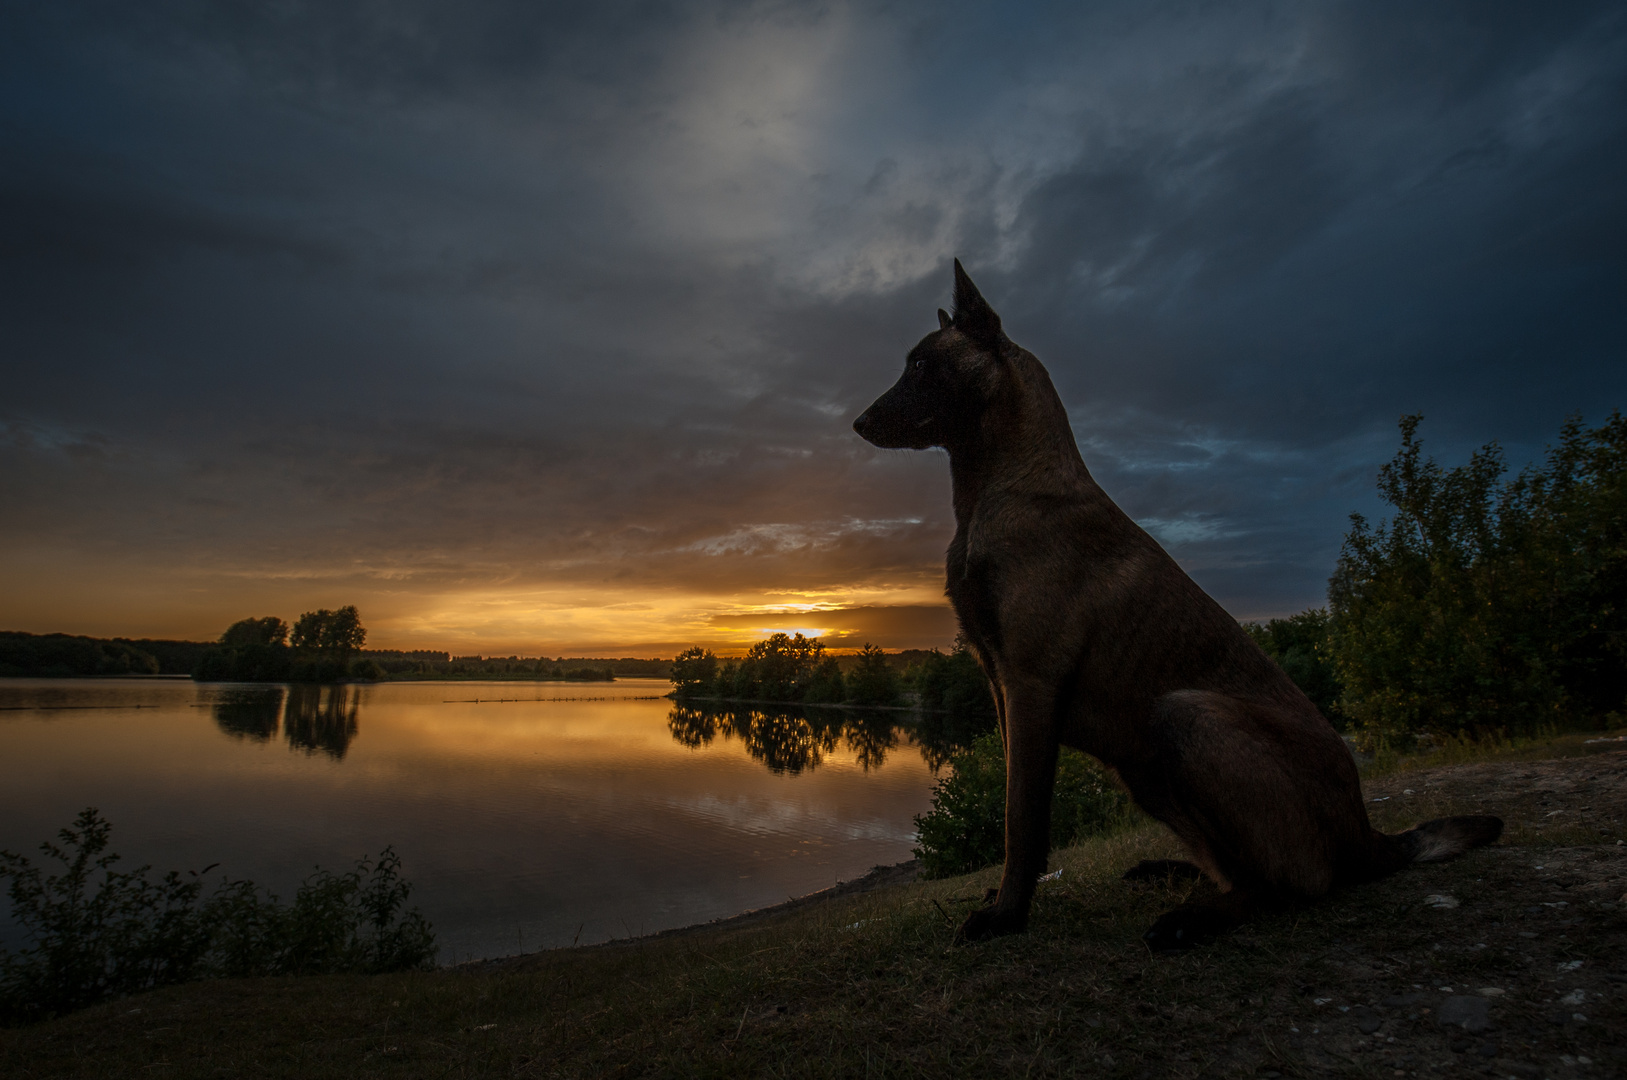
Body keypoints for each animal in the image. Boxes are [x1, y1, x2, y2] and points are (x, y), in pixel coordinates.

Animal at [852, 260, 1496, 943]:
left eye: (922, 365)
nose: (858, 423)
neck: (1005, 488)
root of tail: (1370, 836)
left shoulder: (1028, 683)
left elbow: (1020, 820)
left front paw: (1006, 915)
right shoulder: (1003, 687)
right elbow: (1014, 808)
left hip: (1187, 717)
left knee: (1301, 879)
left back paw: (1194, 918)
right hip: (1145, 769)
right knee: (1245, 866)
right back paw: (1181, 879)